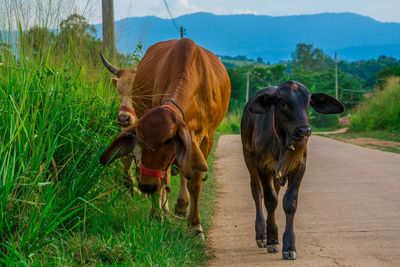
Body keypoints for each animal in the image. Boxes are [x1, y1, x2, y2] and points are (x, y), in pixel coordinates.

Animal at [100, 38, 231, 238]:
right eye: (141, 140)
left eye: (169, 140)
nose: (146, 187)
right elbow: (162, 176)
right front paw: (157, 214)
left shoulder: (206, 138)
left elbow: (194, 180)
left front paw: (195, 225)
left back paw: (181, 206)